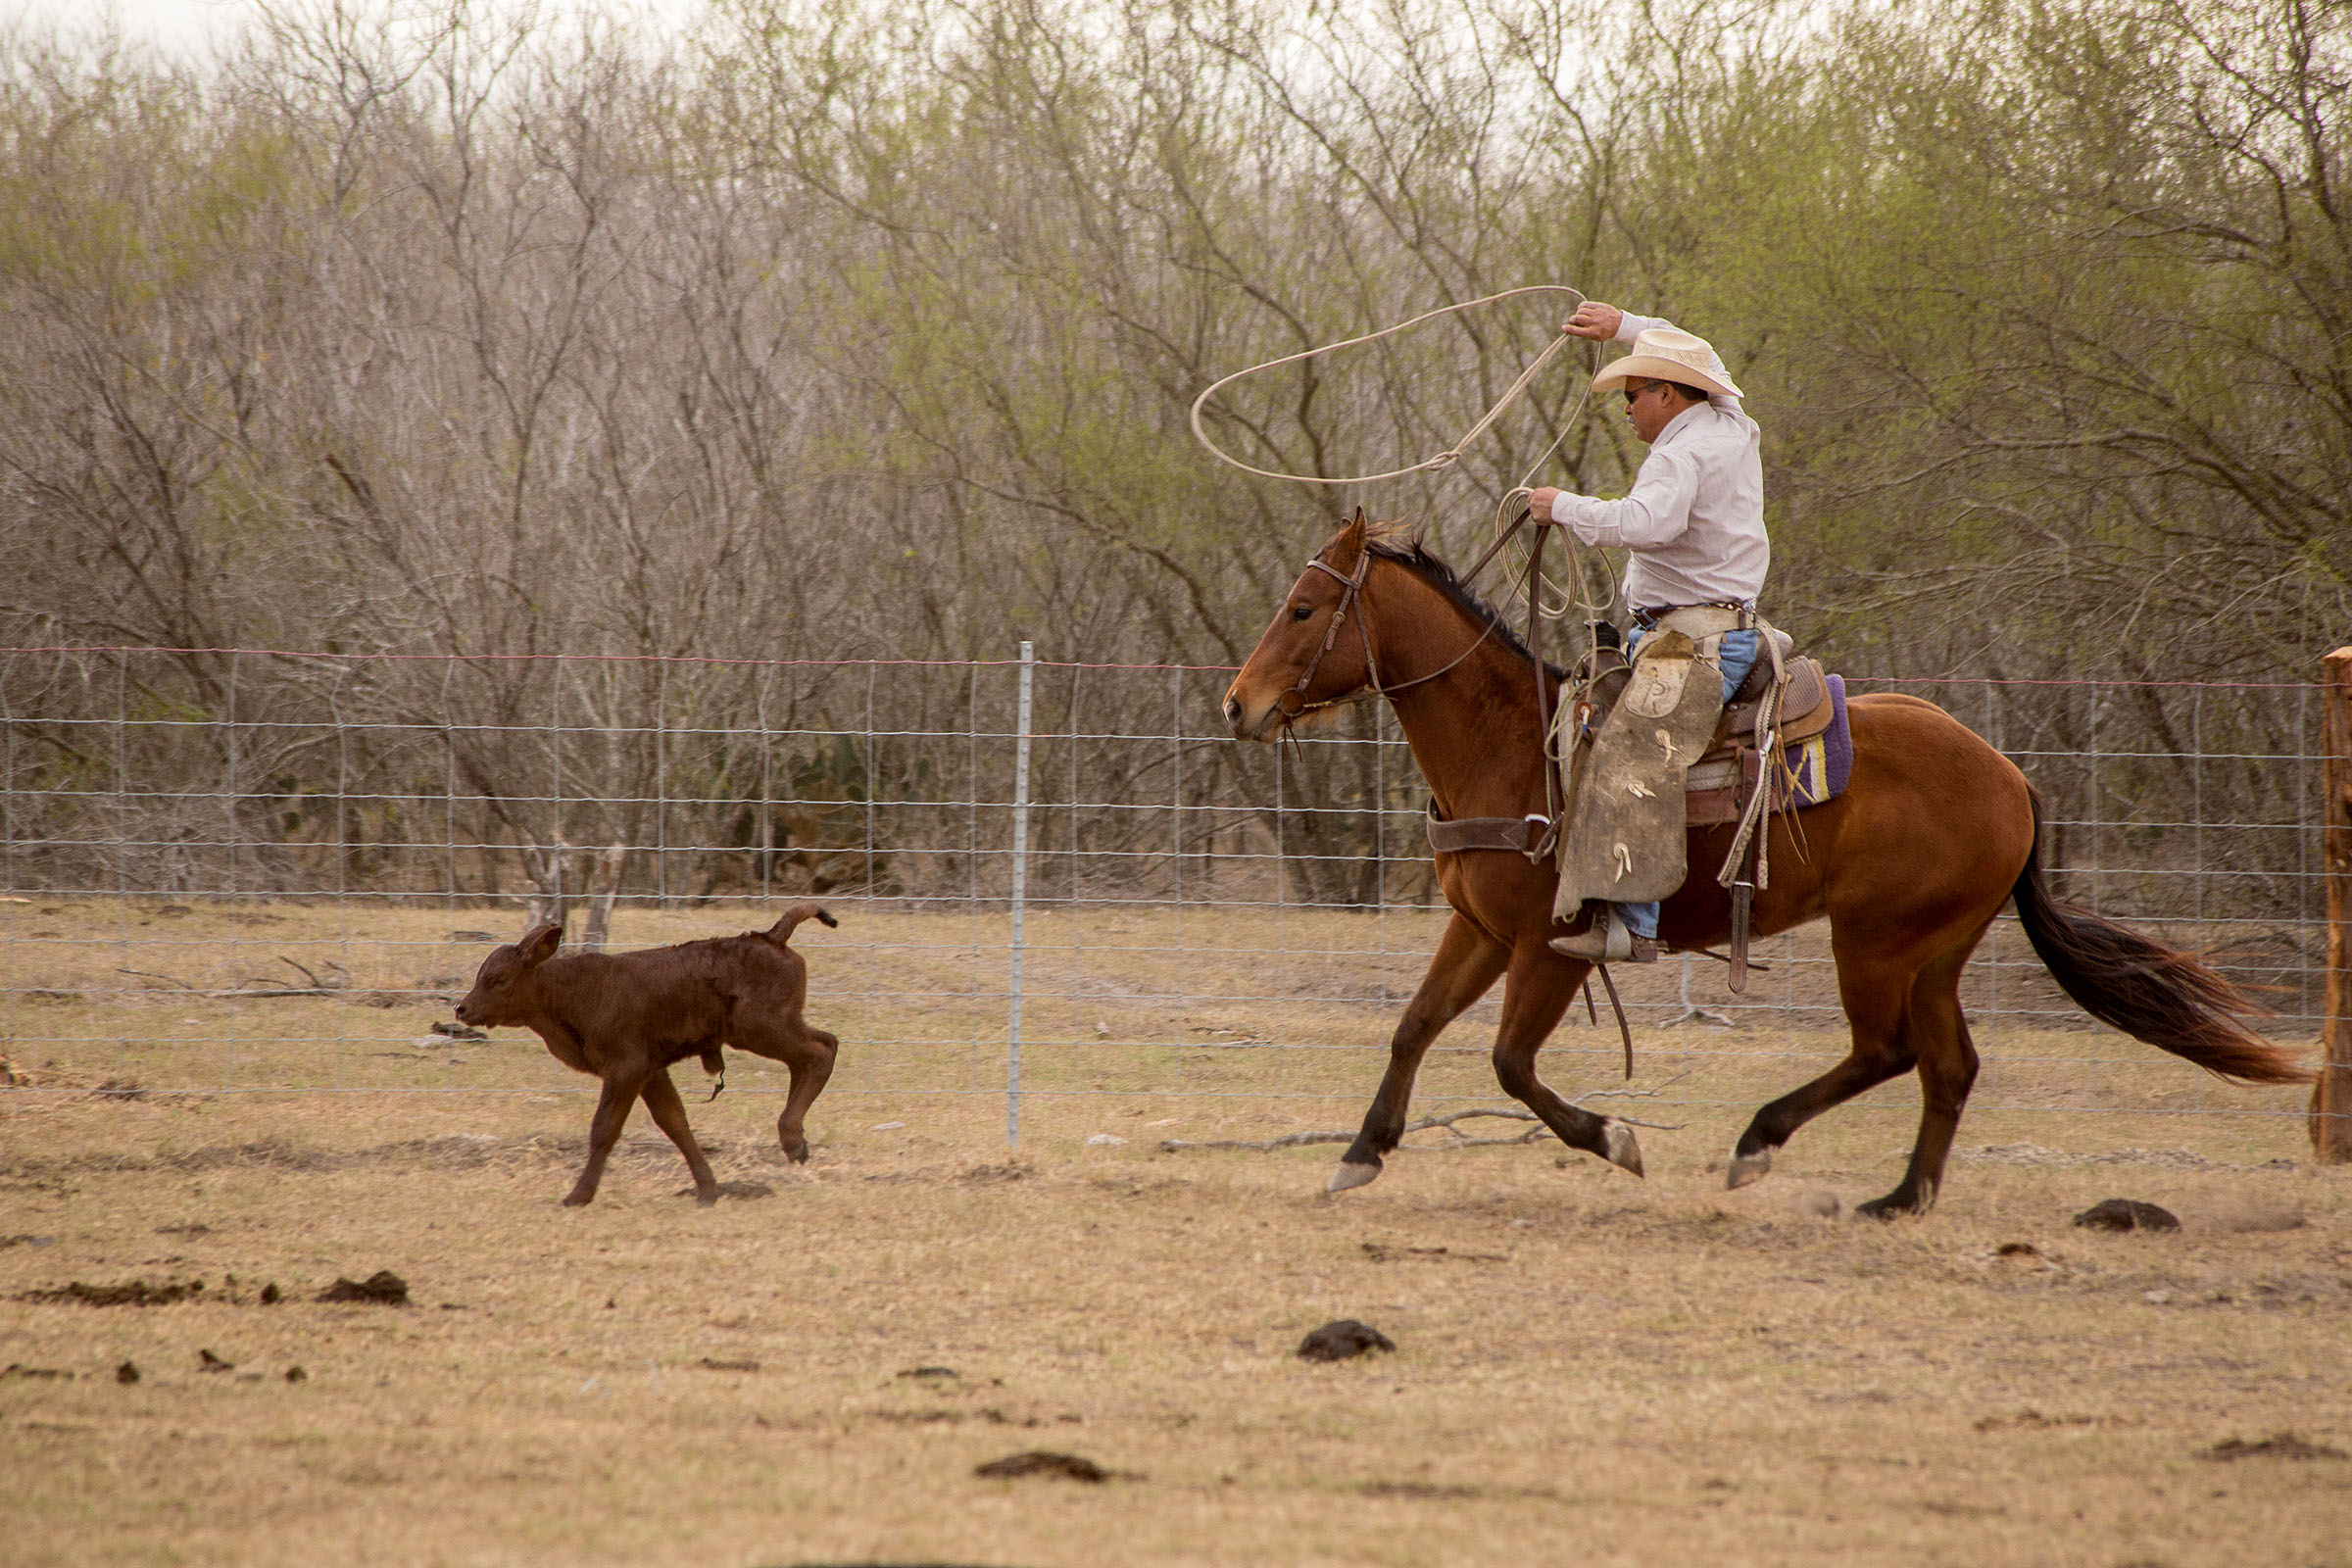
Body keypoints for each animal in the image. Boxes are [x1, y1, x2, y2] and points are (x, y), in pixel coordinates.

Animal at [454, 903, 842, 1212]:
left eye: (501, 979)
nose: (462, 1007)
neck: (572, 995)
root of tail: (773, 937)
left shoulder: (626, 1067)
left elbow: (605, 1129)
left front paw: (578, 1196)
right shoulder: (651, 1070)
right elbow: (675, 1123)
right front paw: (708, 1189)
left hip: (758, 1027)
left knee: (822, 1050)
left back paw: (792, 1139)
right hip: (771, 1027)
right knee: (814, 1052)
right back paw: (796, 1141)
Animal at [1223, 514, 2305, 1212]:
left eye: (1305, 607)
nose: (1238, 704)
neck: (1515, 746)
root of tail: (2012, 778)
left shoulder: (1548, 945)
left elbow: (1509, 1062)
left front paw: (1615, 1141)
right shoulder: (1480, 929)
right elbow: (1413, 1027)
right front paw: (1360, 1155)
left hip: (1873, 942)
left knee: (1888, 1052)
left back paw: (1758, 1143)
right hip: (1936, 950)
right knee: (1948, 1064)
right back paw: (1900, 1197)